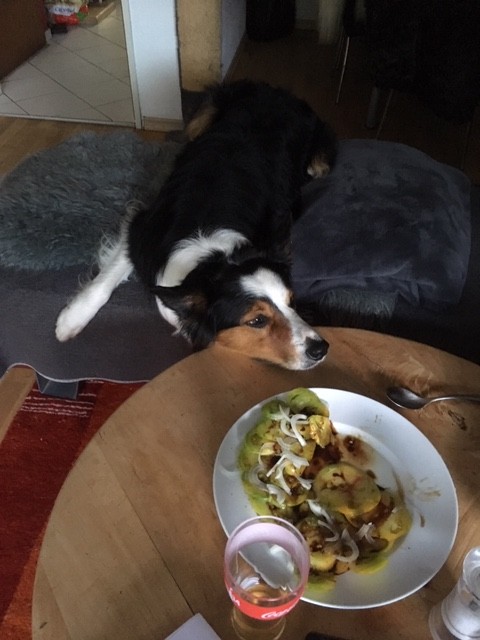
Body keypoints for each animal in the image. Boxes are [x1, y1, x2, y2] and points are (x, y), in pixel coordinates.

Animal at [55, 80, 337, 370]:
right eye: (257, 320)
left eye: (292, 302)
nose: (320, 348)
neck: (209, 251)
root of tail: (278, 92)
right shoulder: (143, 229)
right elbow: (105, 281)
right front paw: (71, 319)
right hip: (202, 117)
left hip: (316, 158)